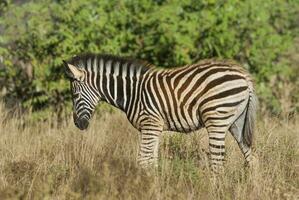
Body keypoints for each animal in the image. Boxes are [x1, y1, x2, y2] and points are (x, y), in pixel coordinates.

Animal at [62, 53, 258, 172]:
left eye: (74, 95)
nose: (78, 125)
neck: (132, 93)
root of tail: (244, 77)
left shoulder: (149, 124)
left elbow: (143, 160)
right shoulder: (154, 129)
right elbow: (151, 161)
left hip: (216, 120)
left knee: (218, 162)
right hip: (237, 122)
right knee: (251, 156)